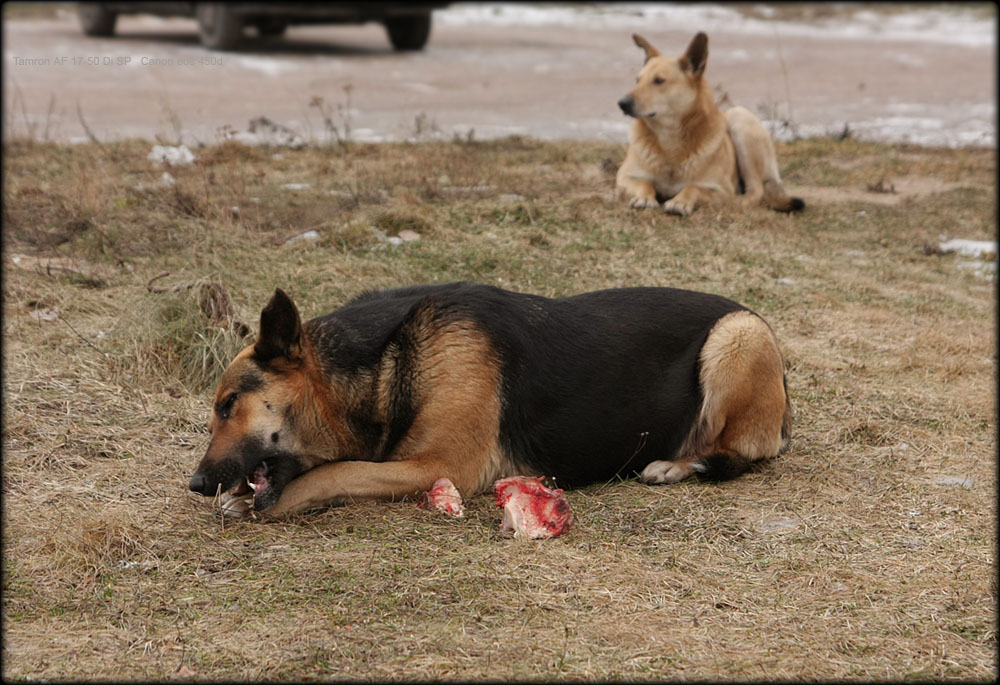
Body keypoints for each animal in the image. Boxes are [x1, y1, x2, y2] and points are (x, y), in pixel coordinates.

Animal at [191, 280, 792, 516]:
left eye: (228, 406)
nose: (195, 484)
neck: (388, 362)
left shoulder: (442, 466)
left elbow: (334, 472)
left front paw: (259, 503)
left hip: (738, 336)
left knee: (738, 453)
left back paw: (676, 464)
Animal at [616, 30, 804, 214]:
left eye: (659, 80)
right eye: (637, 80)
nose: (622, 103)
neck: (670, 140)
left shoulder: (721, 189)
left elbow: (693, 187)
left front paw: (680, 202)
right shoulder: (624, 177)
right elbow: (644, 183)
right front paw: (644, 197)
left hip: (739, 117)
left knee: (756, 191)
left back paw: (735, 203)